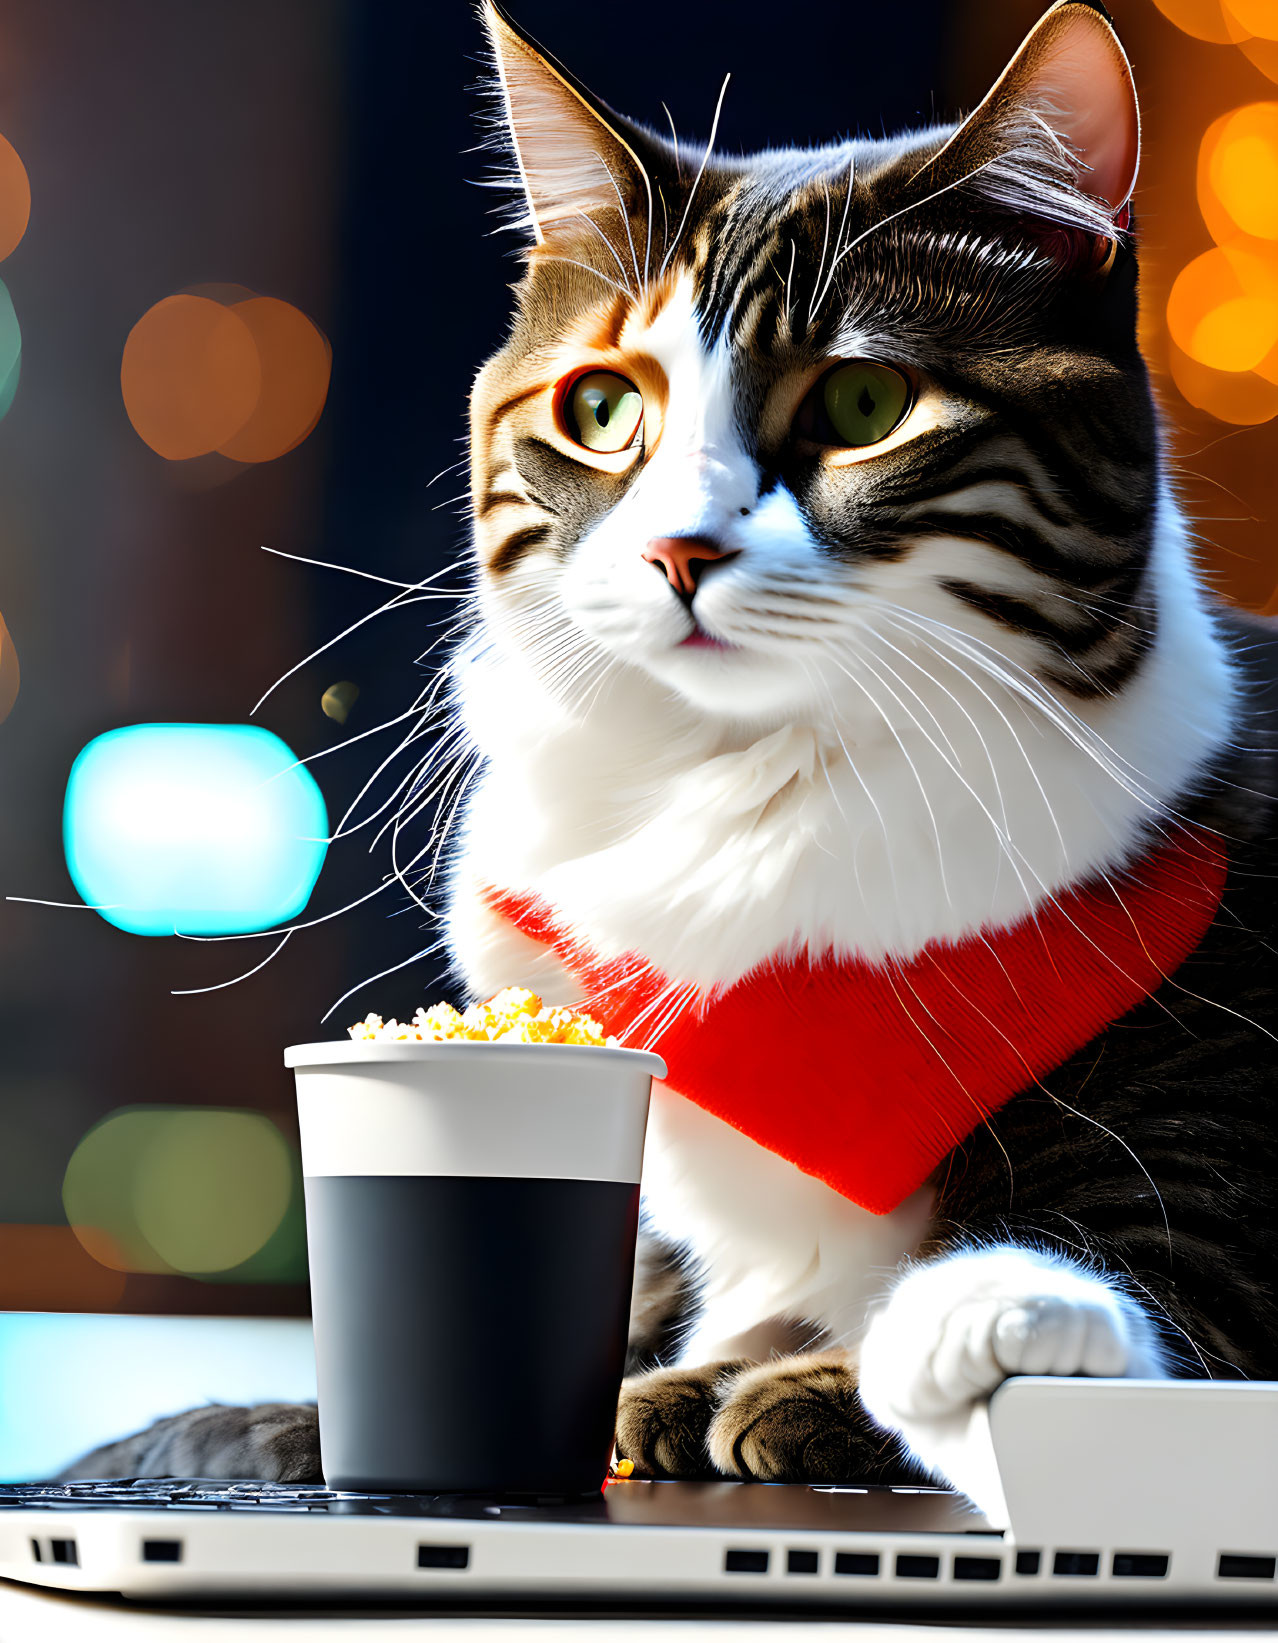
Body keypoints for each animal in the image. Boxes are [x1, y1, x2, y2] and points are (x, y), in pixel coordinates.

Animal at [69, 0, 1274, 1511]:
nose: (679, 547)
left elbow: (1144, 1303)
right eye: (600, 409)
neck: (750, 793)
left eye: (865, 403)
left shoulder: (1218, 1172)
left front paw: (890, 1356)